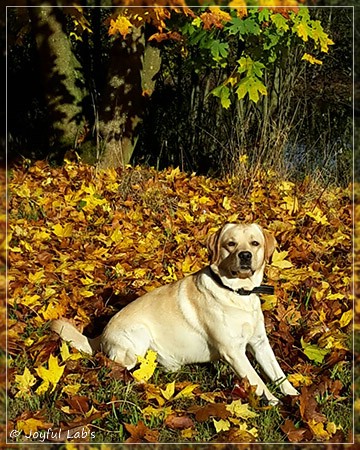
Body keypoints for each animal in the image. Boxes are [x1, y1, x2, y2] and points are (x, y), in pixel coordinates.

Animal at [51, 223, 298, 402]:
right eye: (230, 244)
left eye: (255, 243)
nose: (245, 255)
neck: (239, 294)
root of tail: (100, 335)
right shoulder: (233, 351)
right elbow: (258, 381)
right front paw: (273, 402)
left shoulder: (260, 343)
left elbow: (278, 372)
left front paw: (293, 395)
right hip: (137, 337)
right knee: (113, 364)